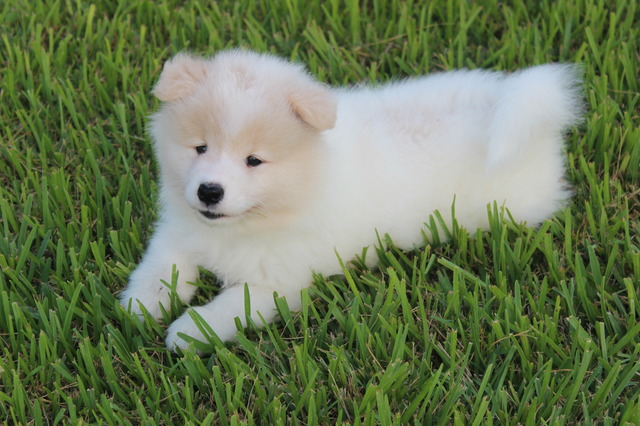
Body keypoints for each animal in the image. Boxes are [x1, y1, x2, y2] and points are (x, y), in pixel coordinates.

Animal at [117, 48, 584, 352]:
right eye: (200, 148)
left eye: (254, 161)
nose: (209, 191)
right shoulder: (179, 231)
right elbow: (160, 267)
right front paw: (141, 306)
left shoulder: (279, 282)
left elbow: (231, 305)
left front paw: (187, 331)